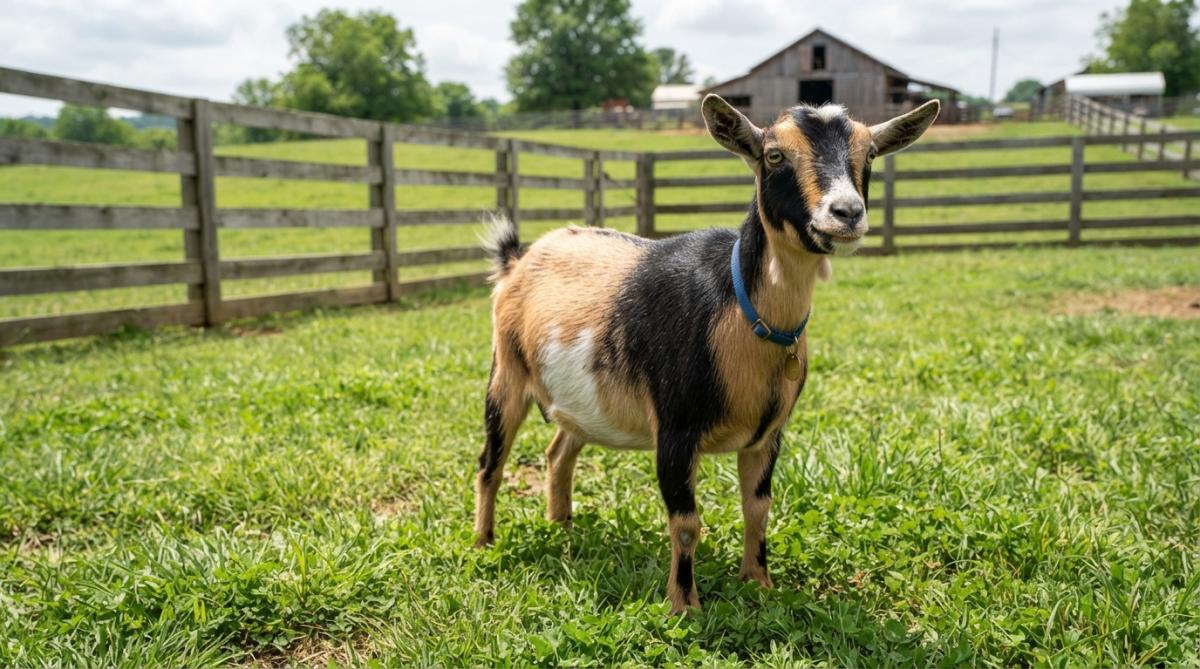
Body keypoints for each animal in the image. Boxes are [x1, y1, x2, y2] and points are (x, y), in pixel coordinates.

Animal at [475, 94, 939, 614]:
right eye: (774, 155)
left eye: (870, 154)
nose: (846, 213)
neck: (738, 307)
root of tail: (517, 260)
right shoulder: (675, 429)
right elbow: (685, 523)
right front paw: (683, 606)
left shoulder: (768, 434)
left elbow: (758, 507)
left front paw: (758, 581)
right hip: (506, 371)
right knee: (490, 463)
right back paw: (485, 543)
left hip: (579, 401)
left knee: (559, 452)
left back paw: (563, 526)